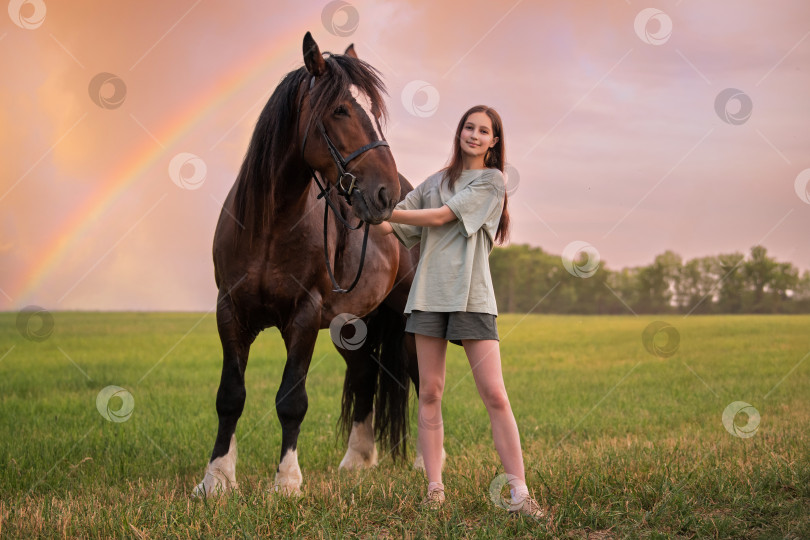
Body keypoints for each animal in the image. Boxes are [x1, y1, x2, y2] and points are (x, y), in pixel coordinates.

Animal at [194, 32, 442, 498]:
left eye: (373, 112)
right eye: (341, 109)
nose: (384, 193)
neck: (270, 225)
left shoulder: (304, 316)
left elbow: (292, 400)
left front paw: (287, 482)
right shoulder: (230, 311)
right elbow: (229, 395)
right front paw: (216, 478)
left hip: (405, 319)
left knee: (421, 378)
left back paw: (425, 463)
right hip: (351, 325)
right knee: (364, 374)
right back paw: (357, 459)